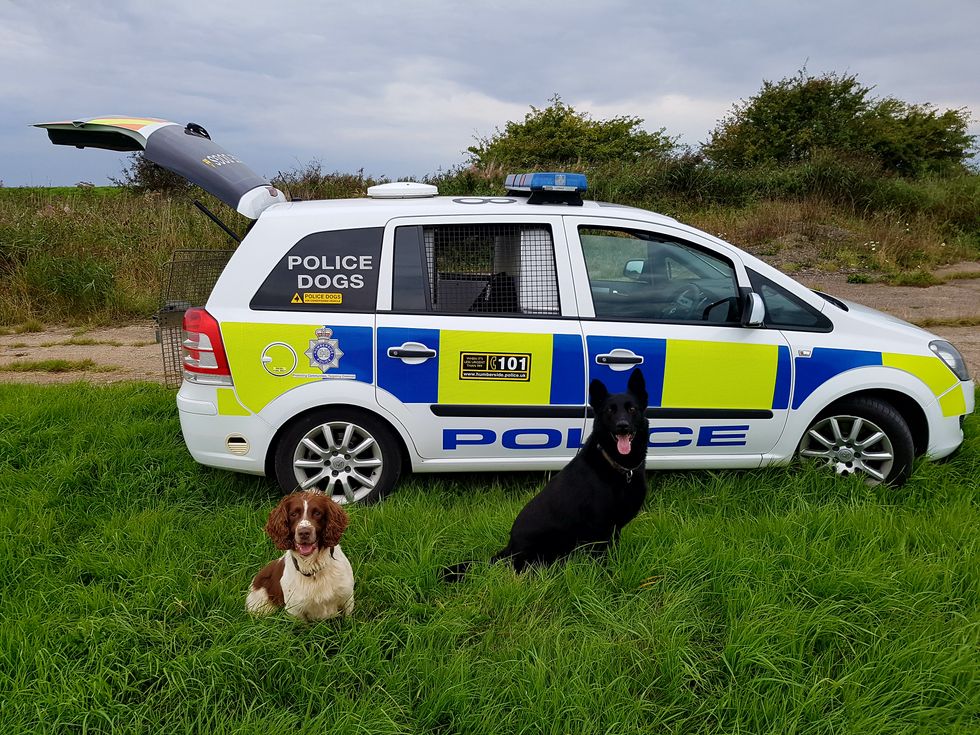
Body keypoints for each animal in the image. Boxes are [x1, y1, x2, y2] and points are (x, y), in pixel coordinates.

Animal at [446, 368, 652, 580]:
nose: (622, 426)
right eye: (610, 411)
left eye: (632, 409)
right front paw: (607, 579)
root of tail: (509, 550)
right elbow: (602, 564)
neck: (620, 467)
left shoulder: (614, 530)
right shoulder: (599, 532)